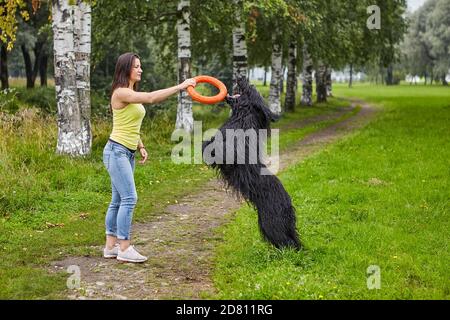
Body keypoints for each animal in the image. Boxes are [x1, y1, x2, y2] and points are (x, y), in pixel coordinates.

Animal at [202, 77, 300, 250]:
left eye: (250, 89)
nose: (242, 77)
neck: (242, 118)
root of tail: (288, 204)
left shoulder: (222, 153)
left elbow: (210, 146)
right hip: (267, 225)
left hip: (272, 224)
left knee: (288, 244)